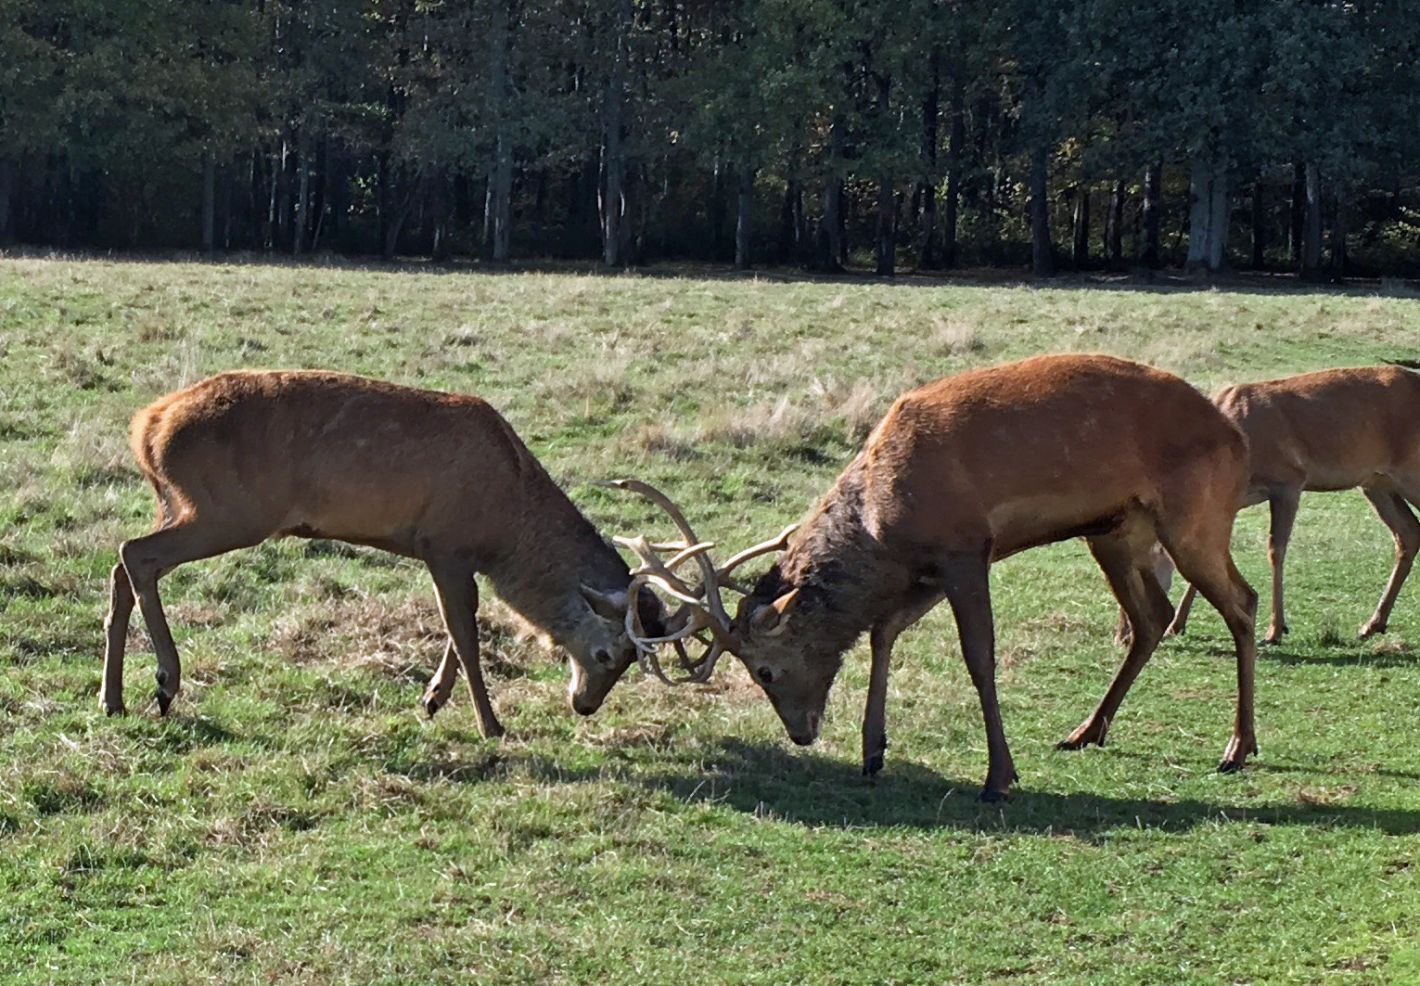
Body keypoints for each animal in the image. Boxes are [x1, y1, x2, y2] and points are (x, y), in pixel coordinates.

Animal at [100, 369, 664, 733]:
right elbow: (465, 631)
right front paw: (490, 724)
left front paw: (433, 699)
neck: (505, 526)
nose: (585, 705)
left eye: (632, 662)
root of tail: (147, 427)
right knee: (135, 553)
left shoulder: (453, 555)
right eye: (608, 653)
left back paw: (114, 699)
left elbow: (461, 626)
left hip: (180, 504)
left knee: (121, 566)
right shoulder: (444, 543)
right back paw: (165, 682)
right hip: (229, 510)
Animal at [607, 355, 1255, 801]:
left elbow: (979, 656)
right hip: (1116, 532)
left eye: (763, 670)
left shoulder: (966, 548)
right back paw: (1086, 731)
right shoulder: (925, 571)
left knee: (1240, 603)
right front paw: (872, 751)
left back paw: (1237, 747)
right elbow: (881, 632)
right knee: (1151, 617)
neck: (881, 527)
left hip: (1195, 515)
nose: (802, 735)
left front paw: (999, 776)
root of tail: (1234, 435)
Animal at [1124, 366, 1414, 645]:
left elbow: (1276, 550)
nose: (1124, 633)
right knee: (1407, 534)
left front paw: (1275, 630)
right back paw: (1372, 625)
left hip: (1409, 473)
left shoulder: (1290, 481)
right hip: (1375, 484)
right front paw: (1176, 626)